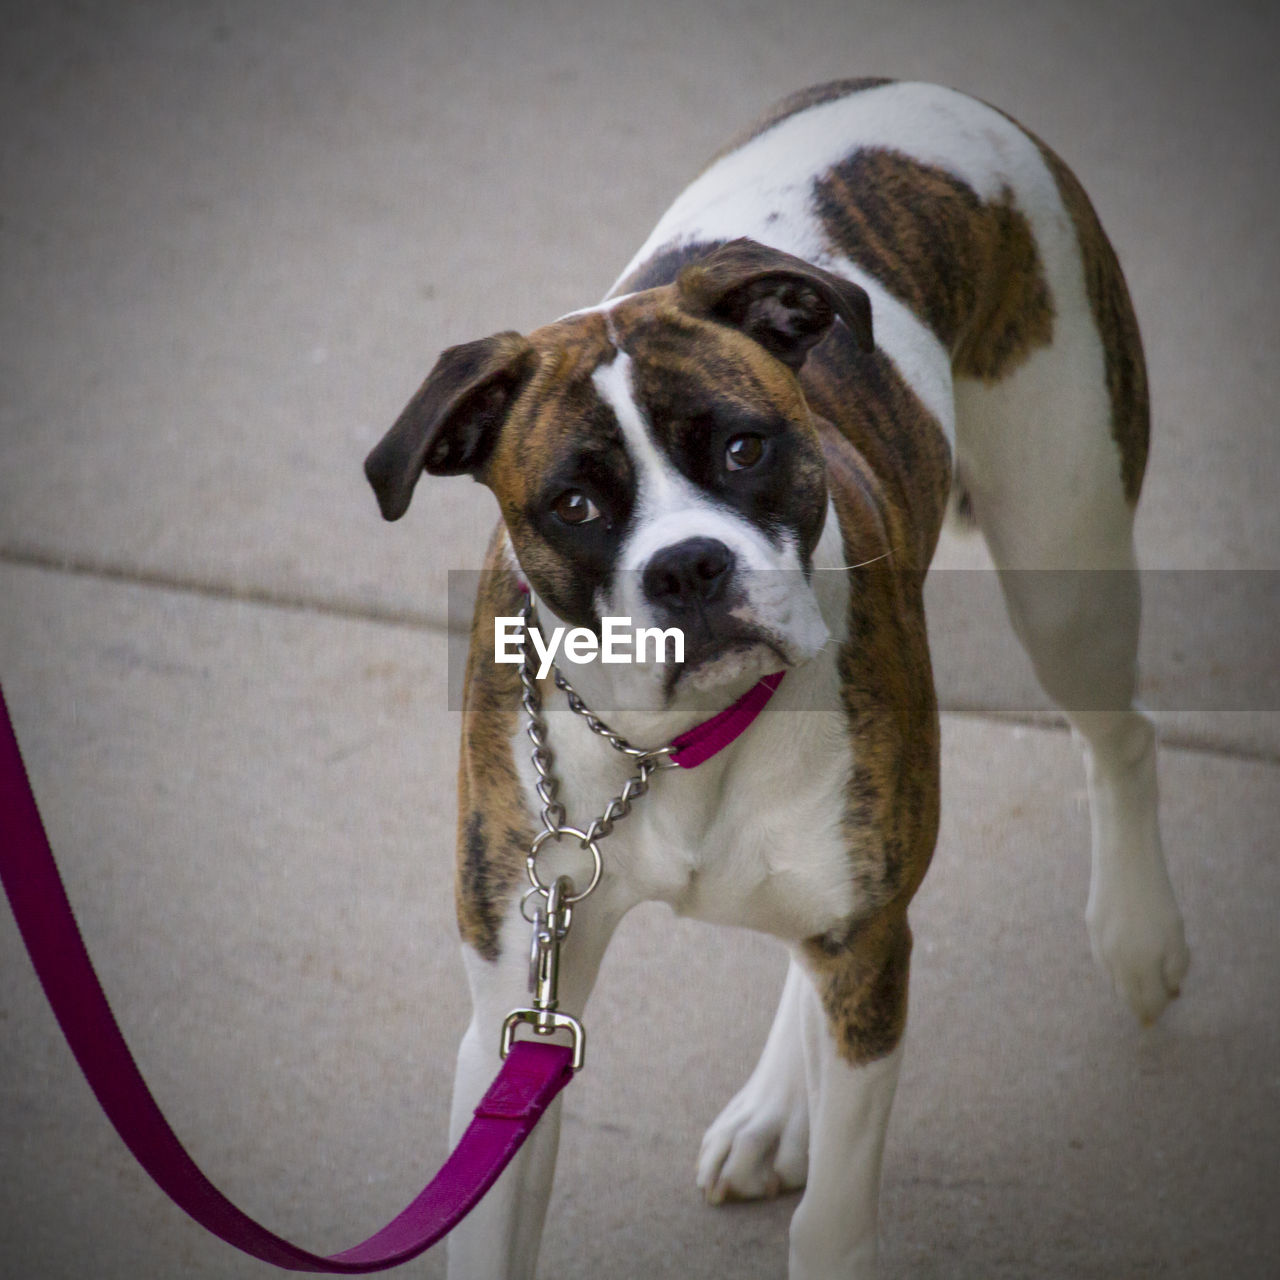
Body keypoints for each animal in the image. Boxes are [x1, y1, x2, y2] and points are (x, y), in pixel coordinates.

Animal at [360, 82, 1187, 1280]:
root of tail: (925, 91)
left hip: (1066, 559)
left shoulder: (873, 958)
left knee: (1118, 735)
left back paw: (1137, 935)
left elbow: (834, 1220)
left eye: (742, 449)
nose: (689, 566)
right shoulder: (515, 1015)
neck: (672, 745)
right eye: (574, 503)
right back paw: (775, 1112)